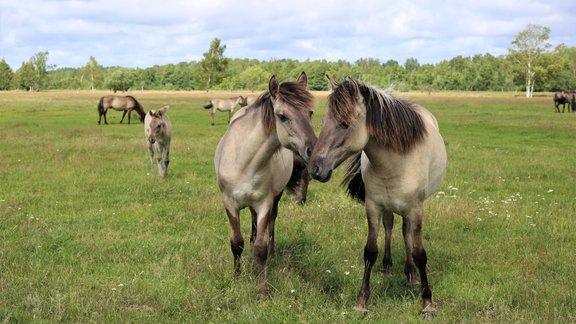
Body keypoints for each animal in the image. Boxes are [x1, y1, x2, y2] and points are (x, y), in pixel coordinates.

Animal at [215, 72, 318, 300]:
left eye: (310, 113)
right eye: (282, 116)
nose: (313, 150)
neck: (244, 161)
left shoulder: (264, 202)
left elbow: (260, 248)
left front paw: (263, 293)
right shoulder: (229, 203)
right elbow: (236, 243)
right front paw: (237, 278)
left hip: (274, 198)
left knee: (271, 222)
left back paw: (272, 250)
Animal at [308, 76, 448, 318]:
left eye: (344, 124)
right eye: (324, 121)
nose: (315, 169)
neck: (396, 162)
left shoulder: (415, 209)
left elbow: (419, 253)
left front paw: (427, 303)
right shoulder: (373, 207)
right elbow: (370, 251)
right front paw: (362, 301)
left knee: (406, 232)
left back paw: (410, 275)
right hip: (388, 207)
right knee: (391, 227)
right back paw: (389, 267)